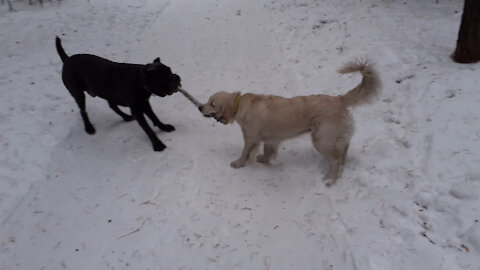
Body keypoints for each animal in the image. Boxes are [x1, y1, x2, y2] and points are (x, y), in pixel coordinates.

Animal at [54, 36, 182, 152]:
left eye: (170, 70)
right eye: (163, 78)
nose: (176, 77)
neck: (140, 81)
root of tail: (67, 60)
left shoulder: (145, 104)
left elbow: (155, 117)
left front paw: (164, 127)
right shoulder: (137, 110)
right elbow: (147, 129)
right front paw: (157, 144)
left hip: (108, 93)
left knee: (112, 106)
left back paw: (126, 117)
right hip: (78, 93)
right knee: (83, 110)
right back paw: (89, 128)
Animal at [199, 59, 378, 186]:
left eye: (212, 103)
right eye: (208, 100)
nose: (200, 107)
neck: (240, 104)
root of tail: (339, 100)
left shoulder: (251, 138)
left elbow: (245, 153)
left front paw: (239, 163)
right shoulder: (270, 138)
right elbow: (268, 150)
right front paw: (263, 159)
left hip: (321, 139)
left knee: (335, 161)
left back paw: (328, 180)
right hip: (338, 139)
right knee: (341, 157)